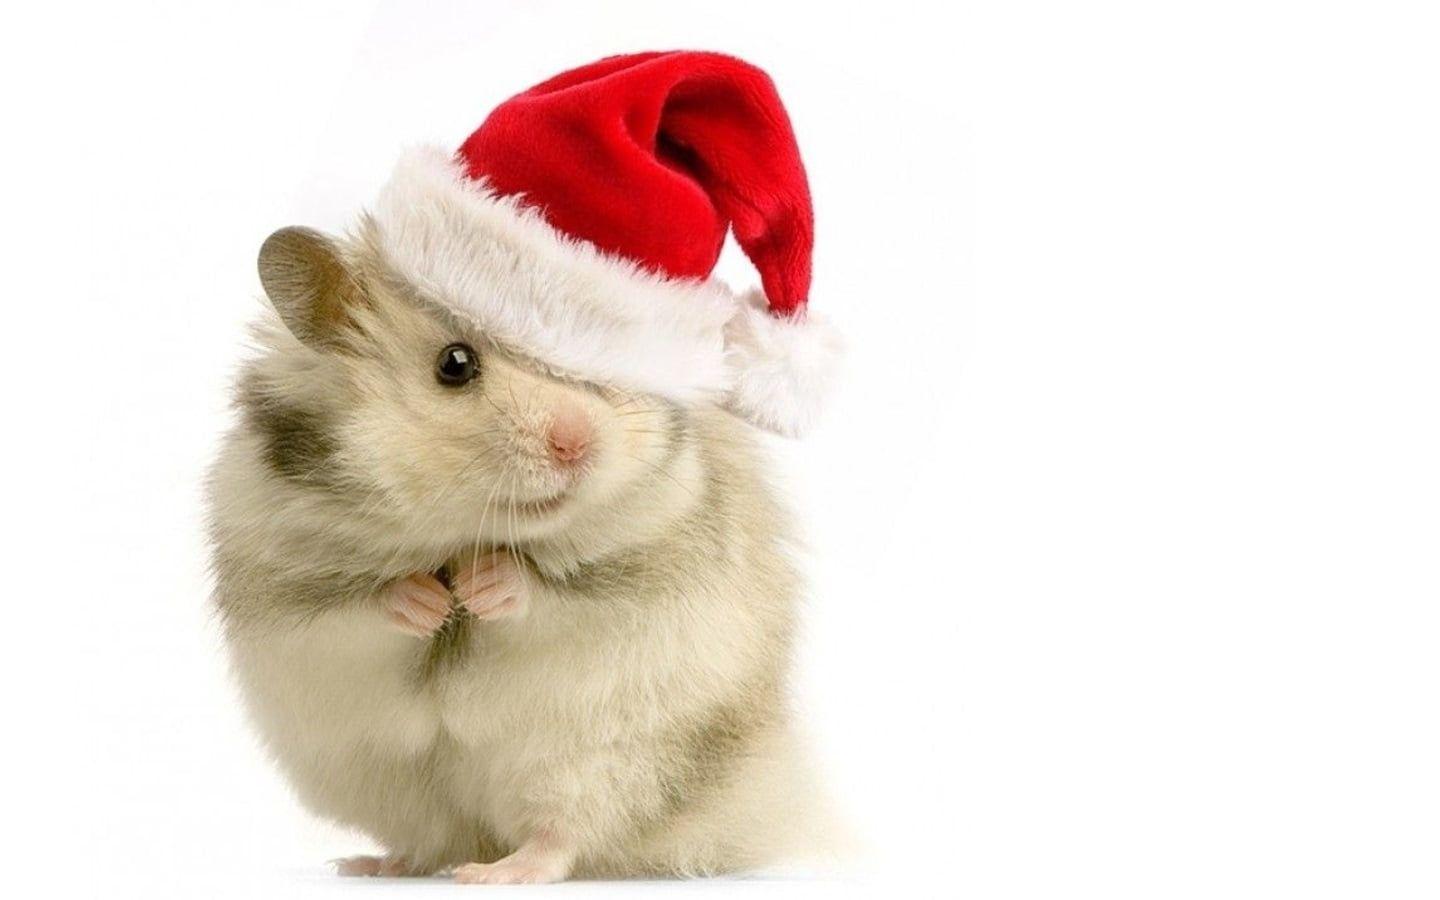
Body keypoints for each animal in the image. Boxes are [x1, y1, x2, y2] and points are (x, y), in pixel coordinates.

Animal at [205, 223, 836, 883]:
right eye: (455, 364)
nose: (576, 445)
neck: (459, 534)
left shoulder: (649, 564)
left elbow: (549, 593)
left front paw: (479, 587)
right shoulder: (286, 589)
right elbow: (362, 606)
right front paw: (432, 602)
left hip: (605, 762)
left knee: (562, 838)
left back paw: (492, 873)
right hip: (388, 784)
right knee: (436, 839)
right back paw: (371, 864)